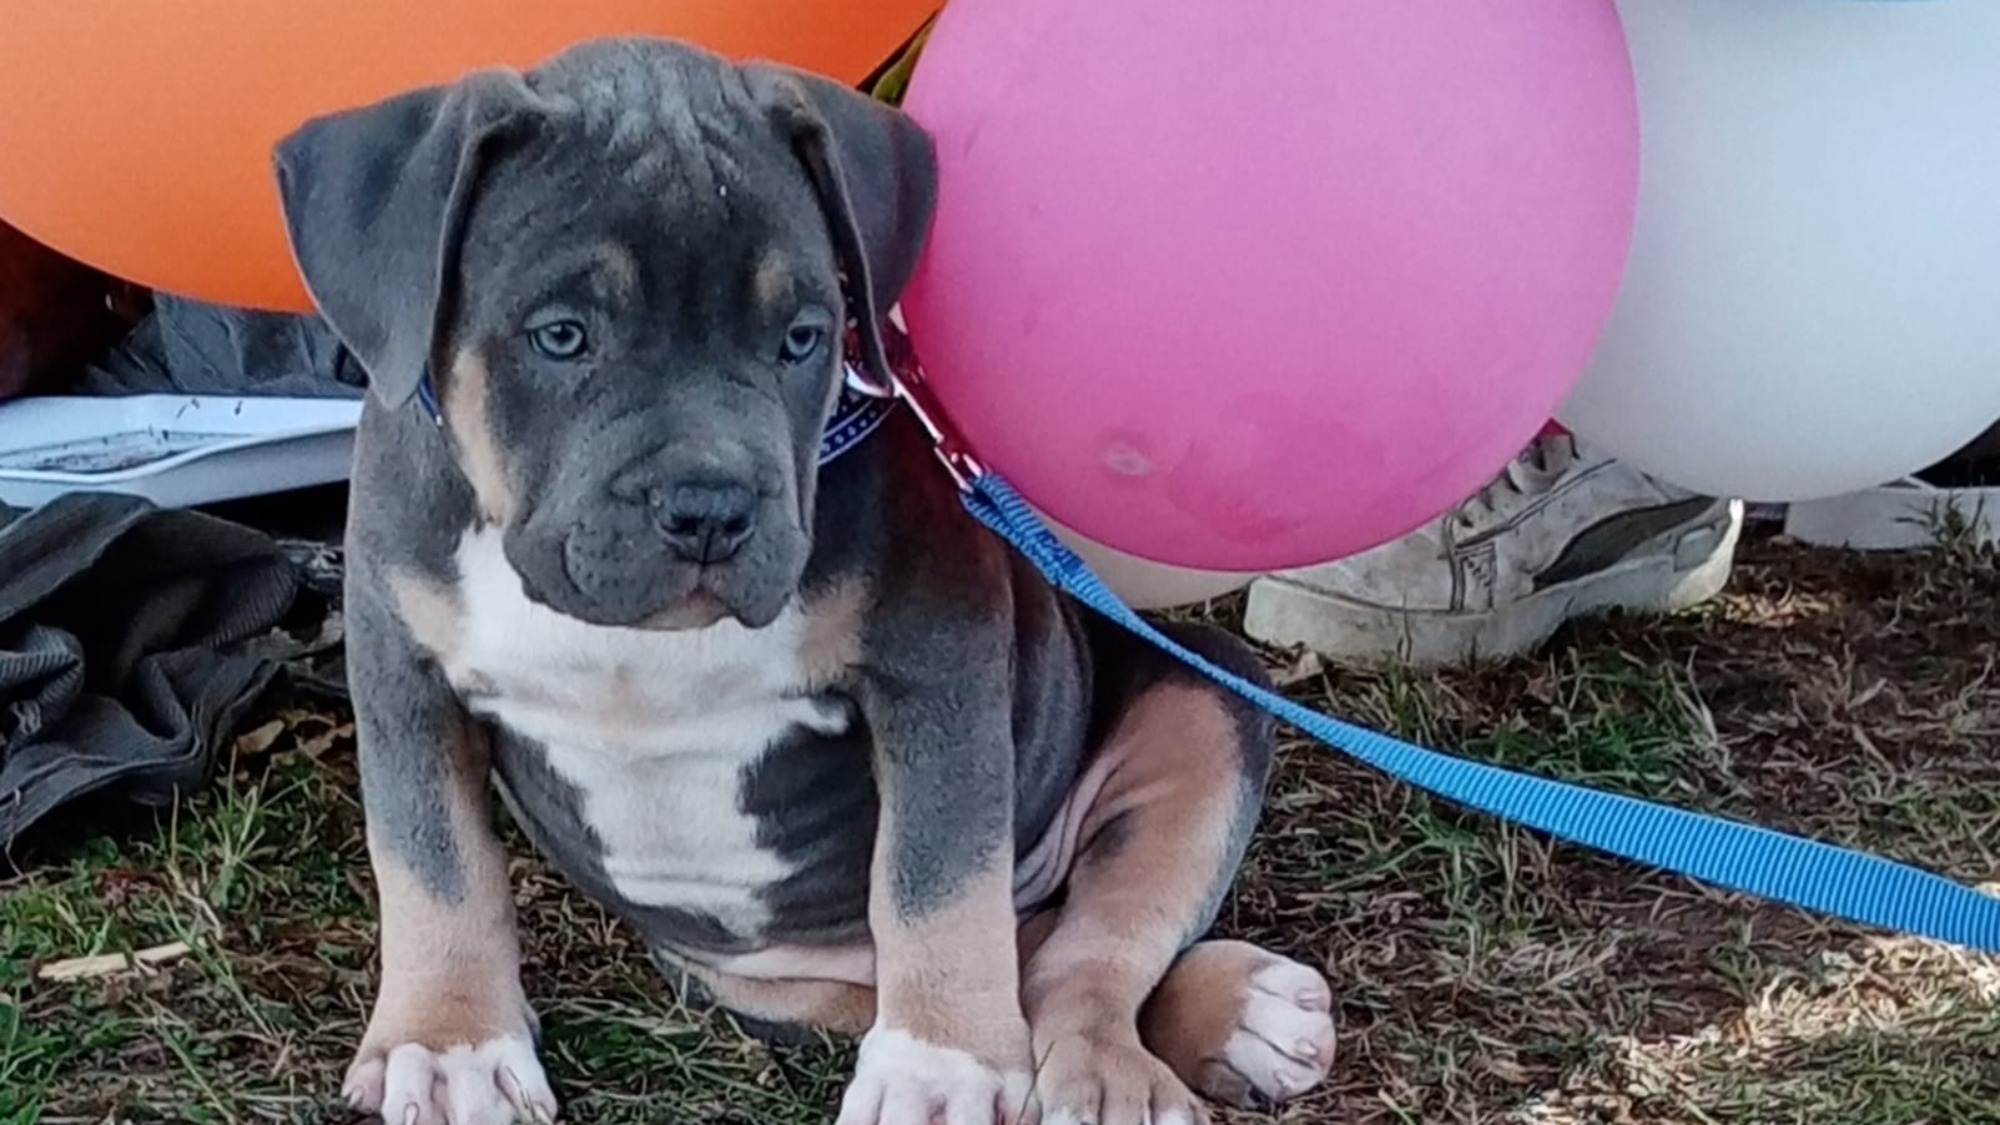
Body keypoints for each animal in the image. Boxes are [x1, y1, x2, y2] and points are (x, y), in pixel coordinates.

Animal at [274, 35, 1336, 1120]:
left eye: (802, 338)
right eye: (562, 335)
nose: (709, 506)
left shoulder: (936, 663)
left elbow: (937, 876)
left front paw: (940, 1065)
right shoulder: (400, 669)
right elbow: (431, 861)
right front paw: (450, 1043)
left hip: (1209, 694)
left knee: (1080, 952)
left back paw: (1167, 1045)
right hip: (758, 977)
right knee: (1022, 956)